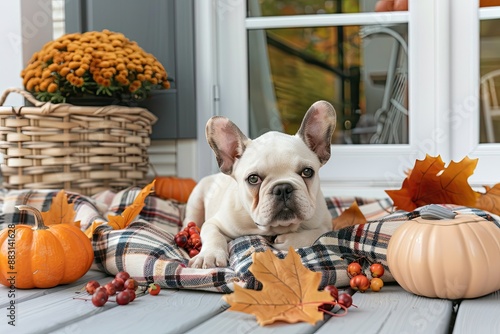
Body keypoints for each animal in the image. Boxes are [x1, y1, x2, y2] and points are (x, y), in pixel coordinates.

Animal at [184, 100, 336, 268]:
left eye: (307, 172)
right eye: (253, 179)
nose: (283, 188)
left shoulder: (326, 224)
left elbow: (317, 233)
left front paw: (288, 240)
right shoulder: (214, 223)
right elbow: (213, 235)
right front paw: (209, 255)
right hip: (196, 200)